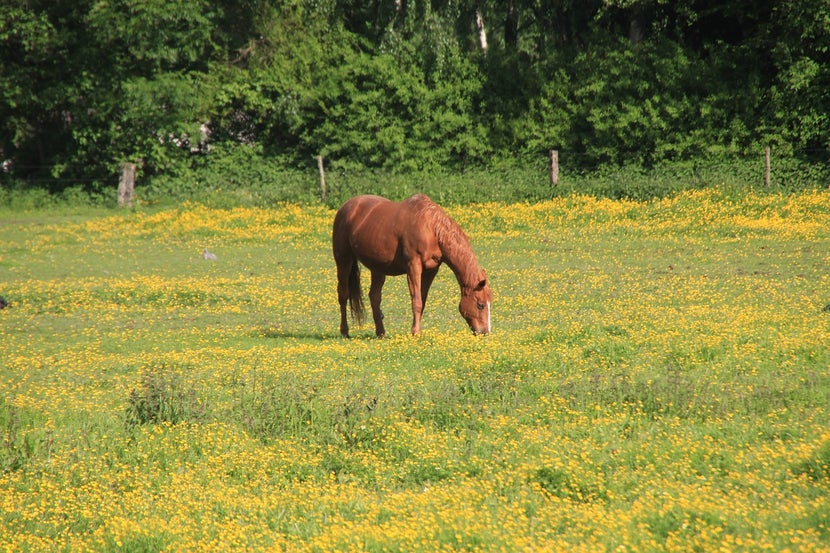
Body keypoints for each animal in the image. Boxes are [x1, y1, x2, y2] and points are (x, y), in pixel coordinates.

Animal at [334, 195, 494, 336]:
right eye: (480, 304)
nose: (485, 332)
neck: (431, 228)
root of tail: (346, 207)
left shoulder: (431, 270)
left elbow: (422, 301)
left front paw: (415, 330)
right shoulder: (413, 266)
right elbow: (416, 301)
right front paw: (415, 332)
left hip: (378, 268)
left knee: (374, 297)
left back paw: (381, 332)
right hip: (343, 260)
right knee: (343, 294)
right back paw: (344, 331)